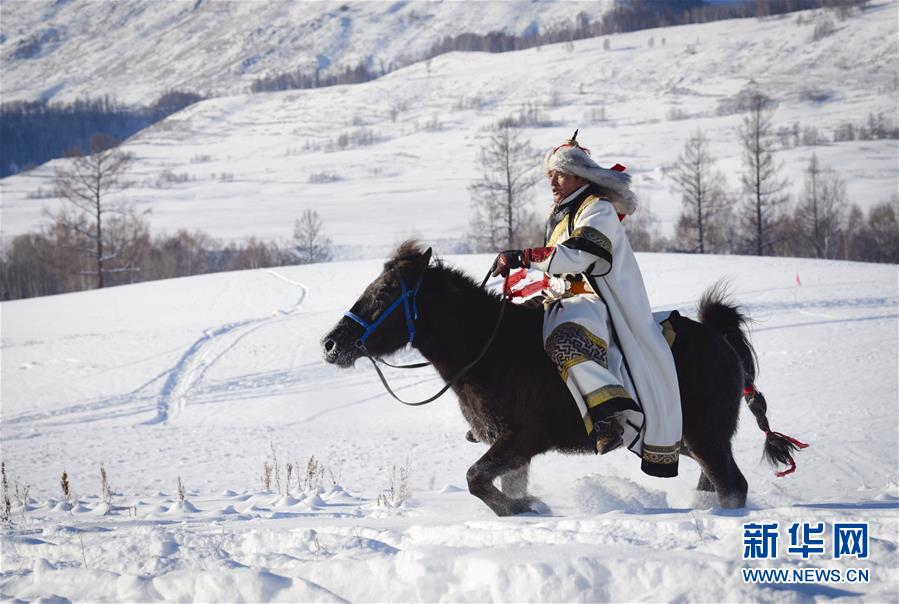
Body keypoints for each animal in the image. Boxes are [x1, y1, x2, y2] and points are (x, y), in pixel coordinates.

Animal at [322, 243, 800, 516]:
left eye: (386, 292)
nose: (331, 344)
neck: (490, 349)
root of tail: (719, 338)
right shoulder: (513, 450)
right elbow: (490, 481)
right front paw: (522, 507)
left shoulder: (522, 439)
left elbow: (476, 478)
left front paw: (526, 507)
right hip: (692, 441)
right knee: (715, 485)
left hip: (706, 437)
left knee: (733, 487)